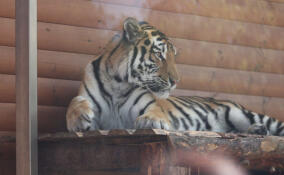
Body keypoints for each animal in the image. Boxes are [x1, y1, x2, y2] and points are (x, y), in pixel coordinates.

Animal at [66, 17, 284, 136]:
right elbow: (75, 101)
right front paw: (78, 118)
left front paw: (151, 121)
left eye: (174, 56)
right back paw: (256, 130)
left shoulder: (149, 104)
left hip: (241, 114)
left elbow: (156, 111)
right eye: (159, 54)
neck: (118, 84)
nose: (176, 82)